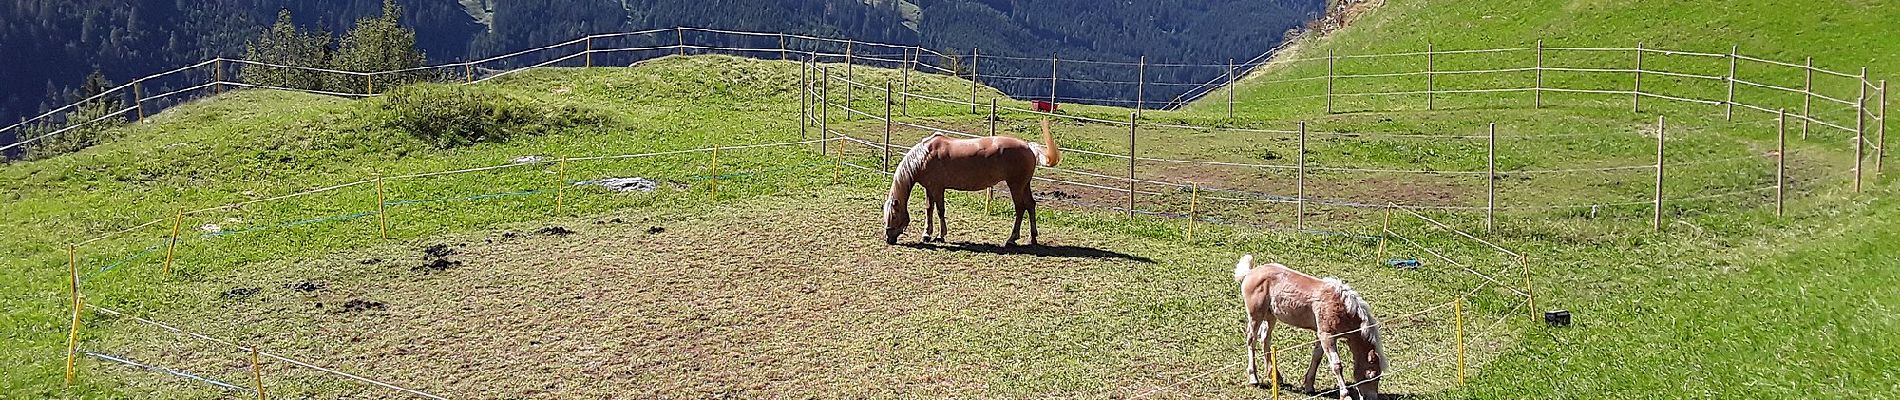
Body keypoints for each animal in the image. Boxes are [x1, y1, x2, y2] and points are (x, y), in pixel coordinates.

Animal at [885, 119, 1064, 244]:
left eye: (893, 216)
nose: (888, 238)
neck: (925, 155)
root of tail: (1028, 146)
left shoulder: (938, 188)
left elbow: (940, 210)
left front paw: (941, 236)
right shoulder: (929, 188)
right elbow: (929, 209)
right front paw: (926, 235)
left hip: (1016, 186)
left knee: (1020, 209)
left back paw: (1012, 238)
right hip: (1024, 185)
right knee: (1031, 205)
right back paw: (1032, 238)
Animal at [1231, 254, 1383, 400]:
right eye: (1371, 375)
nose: (1372, 398)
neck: (1341, 307)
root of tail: (1250, 272)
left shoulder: (1321, 334)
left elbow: (1317, 357)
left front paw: (1309, 386)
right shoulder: (1327, 335)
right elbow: (1336, 365)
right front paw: (1345, 395)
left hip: (1270, 316)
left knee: (1265, 339)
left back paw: (1276, 376)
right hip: (1255, 315)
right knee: (1251, 341)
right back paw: (1254, 378)